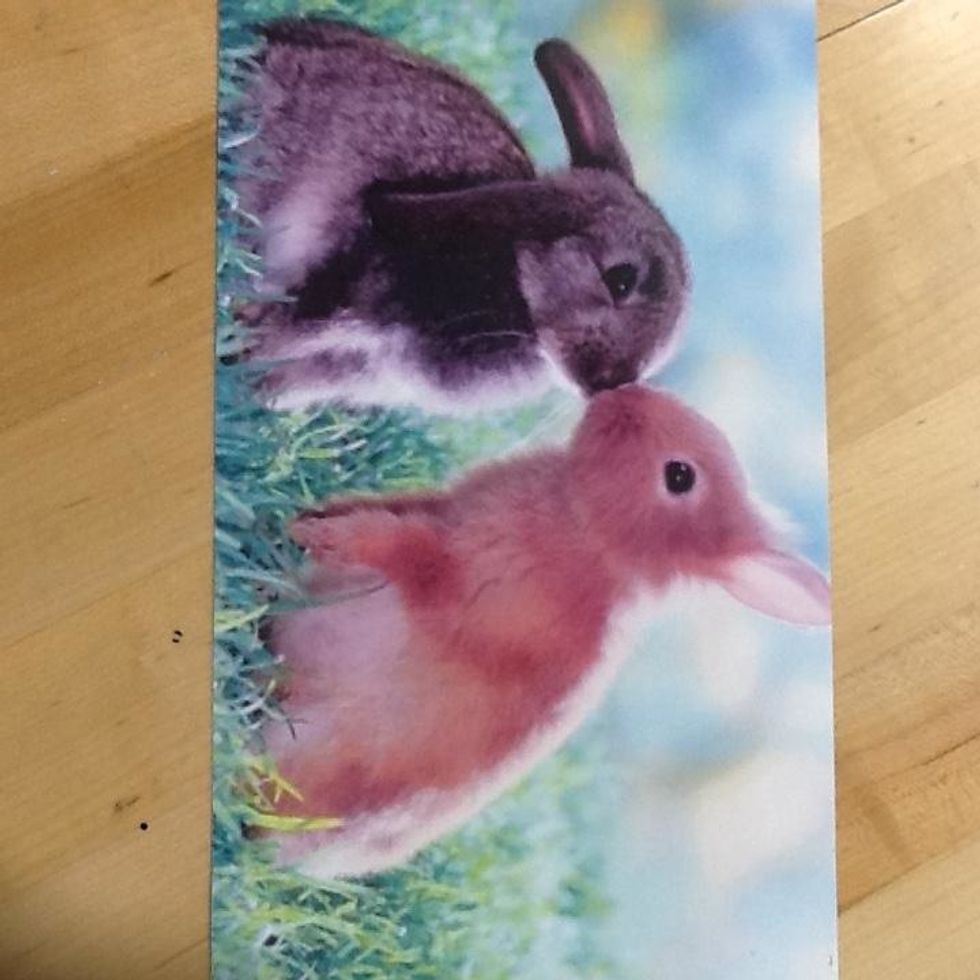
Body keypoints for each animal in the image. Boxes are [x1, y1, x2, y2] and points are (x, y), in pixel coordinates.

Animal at [256, 386, 830, 879]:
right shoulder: (429, 509)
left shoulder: (457, 573)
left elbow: (397, 546)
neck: (598, 537)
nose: (625, 394)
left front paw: (312, 533)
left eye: (680, 477)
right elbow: (374, 510)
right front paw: (307, 520)